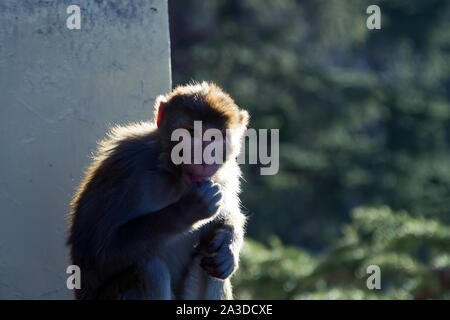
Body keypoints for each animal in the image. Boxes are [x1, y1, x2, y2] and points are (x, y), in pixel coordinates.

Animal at [67, 80, 250, 300]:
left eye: (214, 137)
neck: (174, 175)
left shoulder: (227, 175)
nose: (202, 159)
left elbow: (228, 215)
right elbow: (97, 253)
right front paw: (186, 211)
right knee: (148, 268)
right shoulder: (127, 164)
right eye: (190, 133)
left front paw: (228, 244)